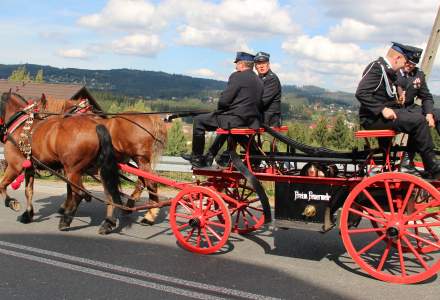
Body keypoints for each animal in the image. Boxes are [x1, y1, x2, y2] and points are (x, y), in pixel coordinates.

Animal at [0, 92, 122, 234]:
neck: (21, 127)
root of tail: (96, 126)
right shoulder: (30, 168)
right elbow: (28, 191)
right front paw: (27, 215)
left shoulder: (15, 166)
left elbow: (2, 185)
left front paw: (11, 202)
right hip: (99, 171)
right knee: (109, 195)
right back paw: (108, 223)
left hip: (73, 171)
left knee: (80, 194)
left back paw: (66, 221)